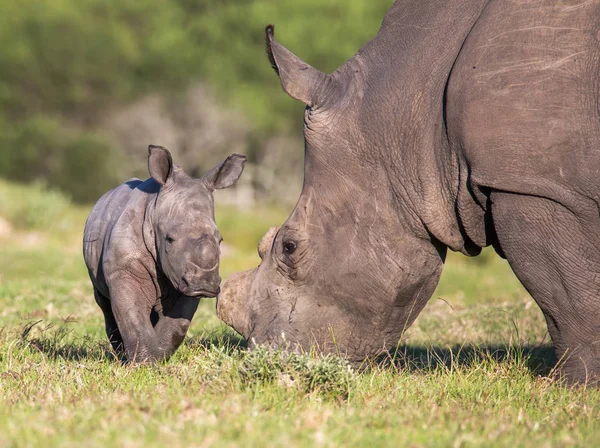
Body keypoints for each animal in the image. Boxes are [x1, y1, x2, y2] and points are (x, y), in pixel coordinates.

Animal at [83, 145, 245, 362]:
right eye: (169, 239)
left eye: (220, 240)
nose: (204, 284)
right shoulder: (124, 268)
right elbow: (132, 316)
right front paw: (145, 363)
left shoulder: (184, 278)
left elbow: (177, 323)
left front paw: (160, 356)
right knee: (105, 304)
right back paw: (121, 356)